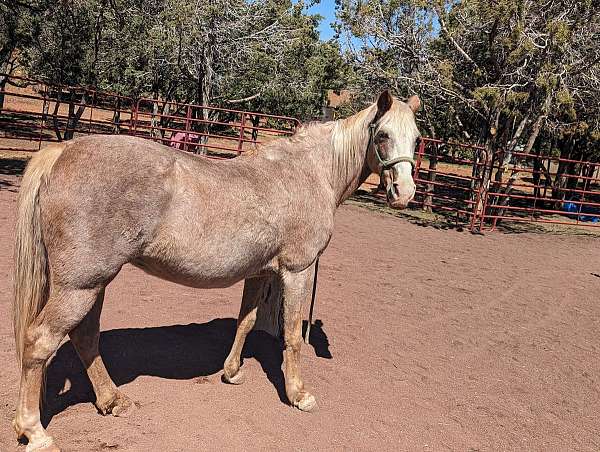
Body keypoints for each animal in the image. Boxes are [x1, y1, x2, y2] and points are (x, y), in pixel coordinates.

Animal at [11, 90, 420, 450]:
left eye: (416, 140)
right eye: (383, 135)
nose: (404, 193)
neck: (309, 173)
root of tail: (64, 151)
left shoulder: (260, 272)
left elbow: (246, 322)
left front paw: (232, 372)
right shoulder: (297, 270)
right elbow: (291, 336)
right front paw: (298, 395)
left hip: (95, 283)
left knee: (85, 337)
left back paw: (113, 401)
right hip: (80, 286)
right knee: (40, 342)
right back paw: (35, 432)